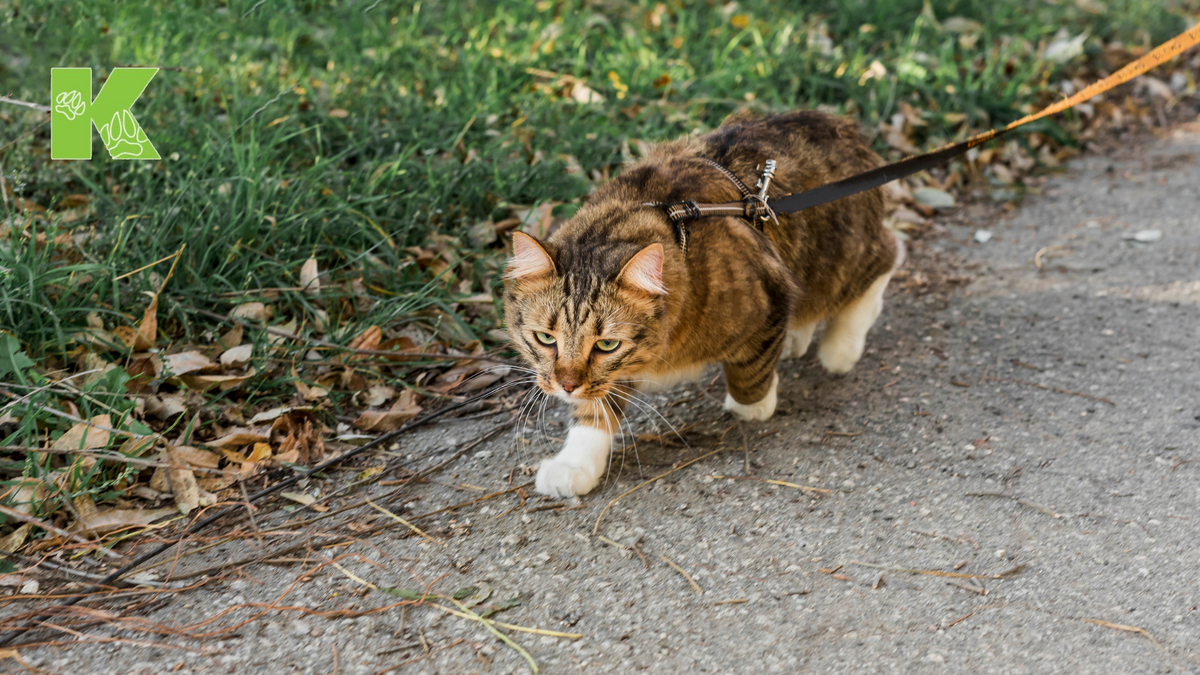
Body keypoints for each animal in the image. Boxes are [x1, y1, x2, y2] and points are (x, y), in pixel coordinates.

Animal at [501, 109, 902, 494]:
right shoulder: (609, 375)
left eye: (606, 345)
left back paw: (842, 344)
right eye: (545, 339)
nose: (566, 386)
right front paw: (576, 464)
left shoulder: (769, 297)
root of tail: (843, 127)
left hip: (840, 262)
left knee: (889, 254)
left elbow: (751, 375)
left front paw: (755, 405)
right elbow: (593, 413)